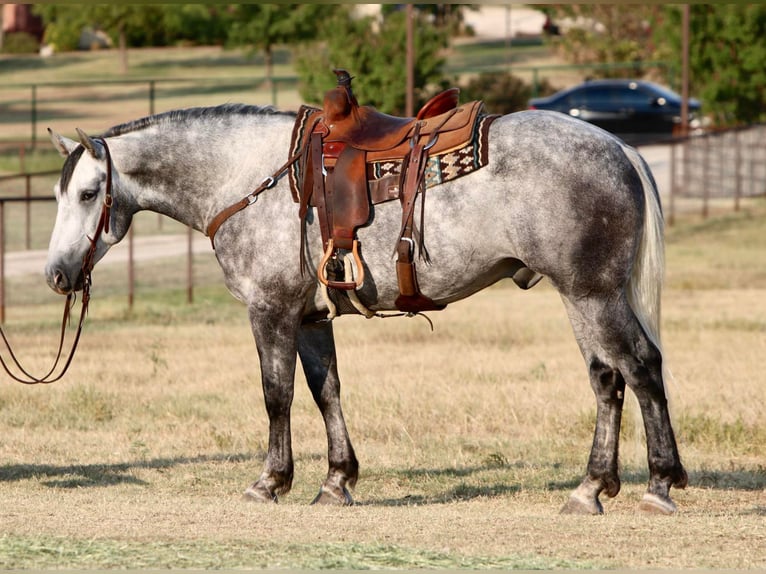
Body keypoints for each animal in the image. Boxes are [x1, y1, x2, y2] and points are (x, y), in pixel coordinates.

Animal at [45, 104, 688, 516]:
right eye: (57, 193)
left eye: (87, 193)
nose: (56, 274)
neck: (248, 178)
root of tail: (617, 146)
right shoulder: (309, 317)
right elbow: (325, 390)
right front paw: (336, 481)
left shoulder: (270, 309)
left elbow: (276, 394)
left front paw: (270, 481)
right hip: (581, 298)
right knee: (607, 380)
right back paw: (591, 489)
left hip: (592, 294)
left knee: (641, 367)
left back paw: (658, 485)